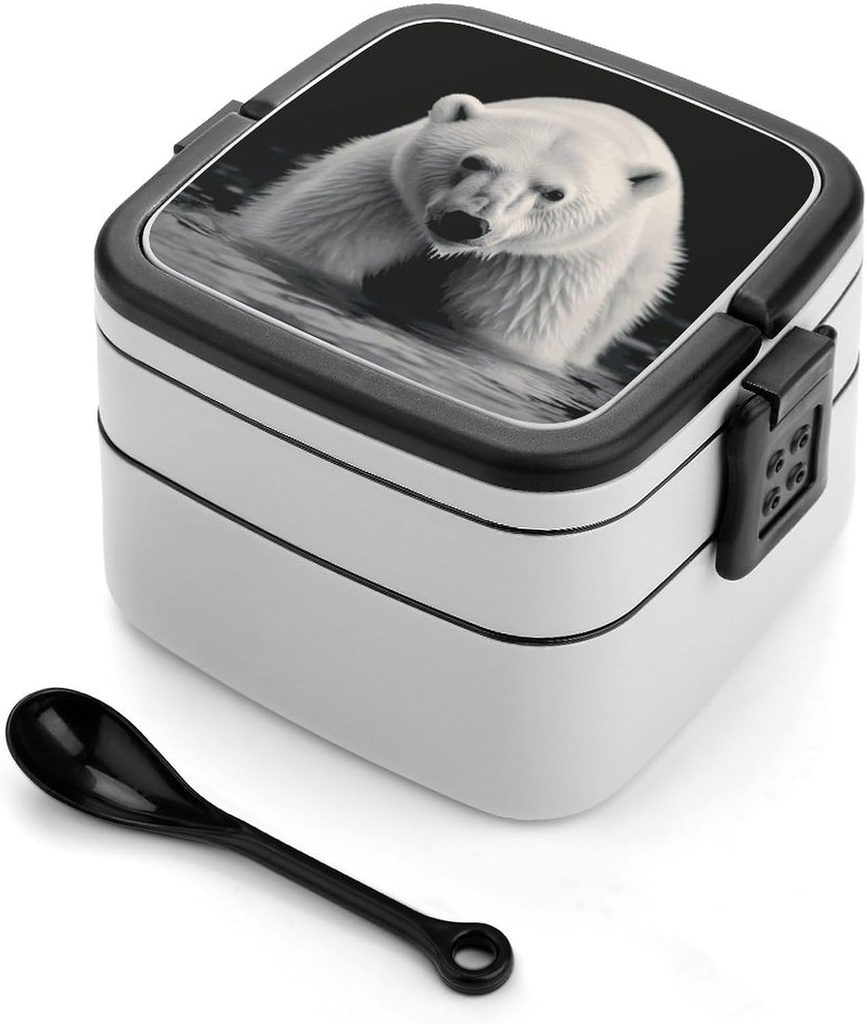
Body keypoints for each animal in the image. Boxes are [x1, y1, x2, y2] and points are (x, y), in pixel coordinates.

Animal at [240, 94, 683, 369]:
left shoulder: (554, 262)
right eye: (473, 161)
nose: (466, 221)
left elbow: (502, 325)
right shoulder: (386, 193)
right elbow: (316, 245)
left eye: (554, 194)